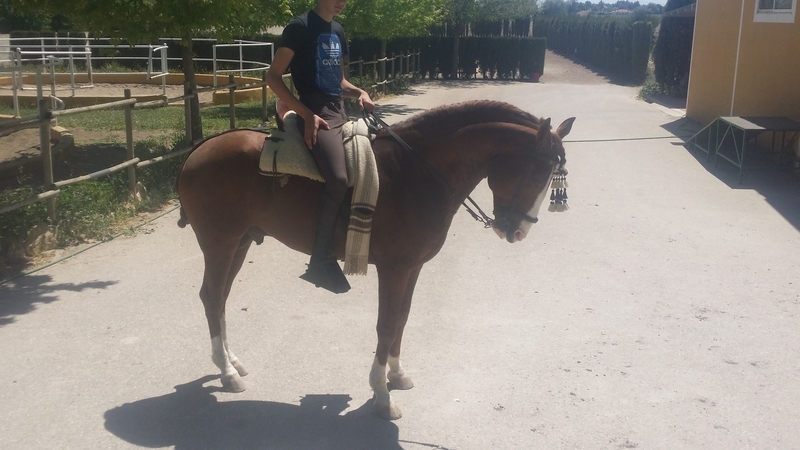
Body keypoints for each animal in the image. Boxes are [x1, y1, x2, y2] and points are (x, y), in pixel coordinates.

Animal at [176, 100, 575, 420]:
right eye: (536, 174)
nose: (519, 231)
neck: (417, 171)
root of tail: (199, 151)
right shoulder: (394, 268)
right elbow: (385, 324)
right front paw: (382, 395)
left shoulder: (412, 267)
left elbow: (401, 318)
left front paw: (396, 375)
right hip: (221, 243)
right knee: (212, 296)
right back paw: (226, 373)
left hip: (240, 243)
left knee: (220, 299)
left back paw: (231, 362)